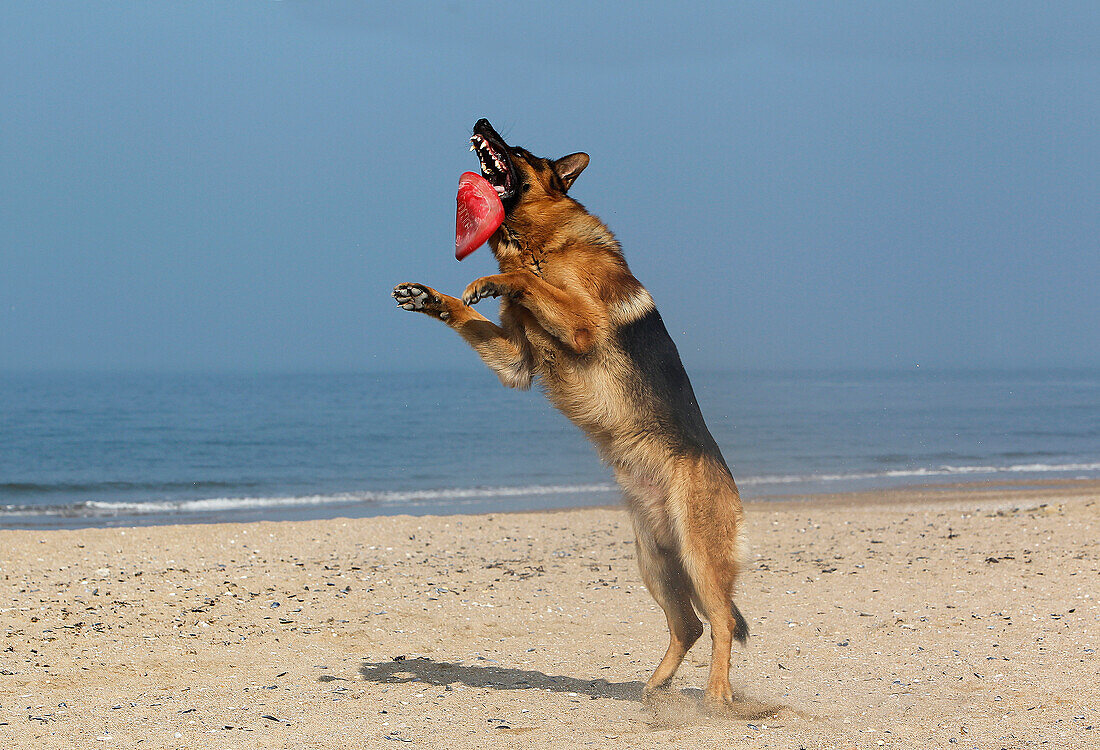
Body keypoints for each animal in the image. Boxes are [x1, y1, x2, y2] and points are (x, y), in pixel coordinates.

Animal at [391, 118, 743, 708]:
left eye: (520, 150)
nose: (481, 122)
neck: (539, 242)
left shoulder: (580, 324)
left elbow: (528, 281)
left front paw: (496, 281)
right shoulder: (516, 361)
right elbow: (470, 310)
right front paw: (431, 297)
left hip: (697, 555)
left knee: (721, 622)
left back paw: (716, 699)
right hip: (655, 560)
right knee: (689, 626)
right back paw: (654, 689)